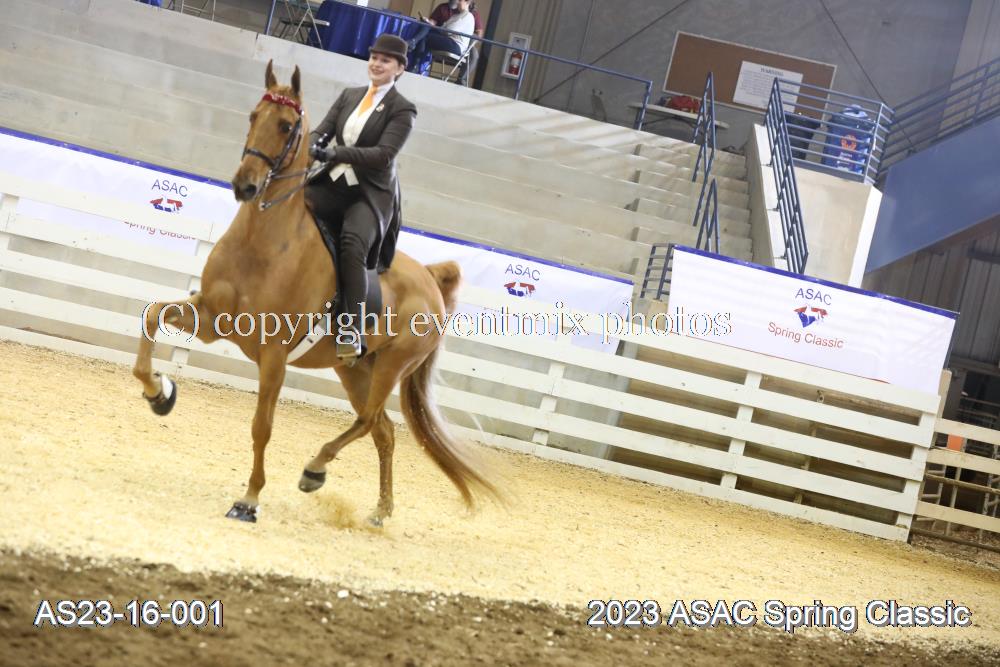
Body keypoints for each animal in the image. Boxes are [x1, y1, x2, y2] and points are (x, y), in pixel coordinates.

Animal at [131, 60, 500, 527]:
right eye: (253, 116)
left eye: (287, 125)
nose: (245, 186)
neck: (262, 243)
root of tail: (431, 278)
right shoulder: (212, 318)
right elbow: (152, 317)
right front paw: (159, 393)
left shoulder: (273, 354)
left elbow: (262, 426)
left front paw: (248, 499)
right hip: (355, 369)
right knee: (383, 431)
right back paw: (379, 510)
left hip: (392, 366)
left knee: (369, 421)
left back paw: (315, 469)